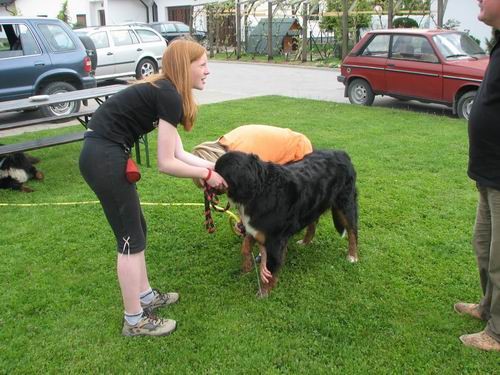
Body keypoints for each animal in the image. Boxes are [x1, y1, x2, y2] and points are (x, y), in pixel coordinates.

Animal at [215, 150, 360, 296]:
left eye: (217, 171)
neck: (260, 190)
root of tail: (341, 153)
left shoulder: (275, 240)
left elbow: (270, 269)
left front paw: (263, 293)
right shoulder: (255, 228)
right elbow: (245, 246)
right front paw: (246, 268)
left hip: (345, 203)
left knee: (352, 231)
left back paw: (352, 256)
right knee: (313, 223)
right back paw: (305, 242)